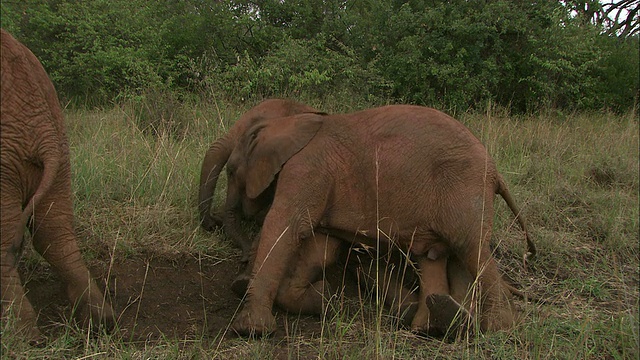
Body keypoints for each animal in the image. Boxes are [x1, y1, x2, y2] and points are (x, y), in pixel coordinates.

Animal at [225, 105, 536, 336]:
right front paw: (327, 300)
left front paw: (251, 330)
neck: (288, 124)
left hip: (464, 188)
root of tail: (496, 172)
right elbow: (320, 248)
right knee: (436, 256)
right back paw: (438, 323)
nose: (242, 259)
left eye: (230, 170)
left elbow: (285, 228)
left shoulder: (307, 169)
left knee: (471, 249)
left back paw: (495, 327)